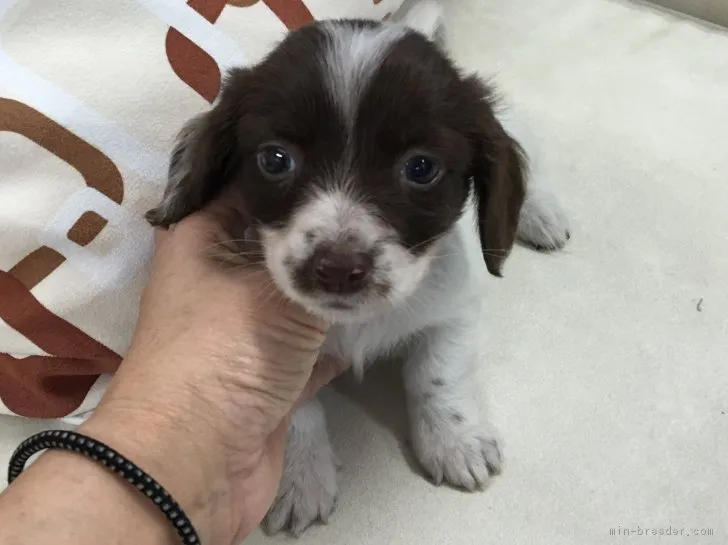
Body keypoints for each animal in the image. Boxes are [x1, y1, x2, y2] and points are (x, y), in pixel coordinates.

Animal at [146, 17, 568, 536]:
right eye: (275, 159)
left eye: (422, 168)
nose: (339, 270)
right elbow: (296, 409)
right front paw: (300, 476)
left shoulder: (454, 309)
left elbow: (439, 373)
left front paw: (456, 439)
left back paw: (542, 213)